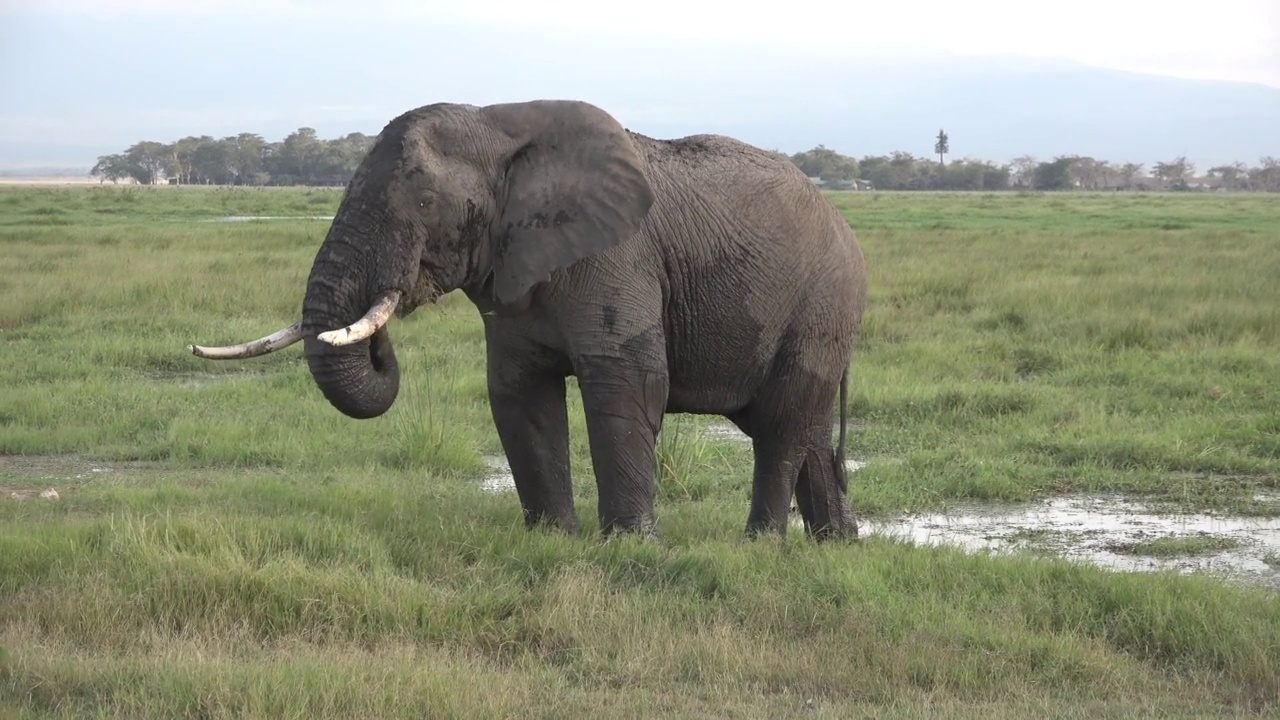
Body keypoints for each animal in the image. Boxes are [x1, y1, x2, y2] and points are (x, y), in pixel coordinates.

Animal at [186, 99, 870, 538]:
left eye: (426, 202)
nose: (383, 339)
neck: (500, 127)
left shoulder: (619, 255)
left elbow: (627, 385)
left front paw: (629, 547)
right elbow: (519, 392)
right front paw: (551, 539)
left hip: (820, 306)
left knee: (781, 426)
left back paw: (762, 545)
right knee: (802, 429)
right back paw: (833, 545)